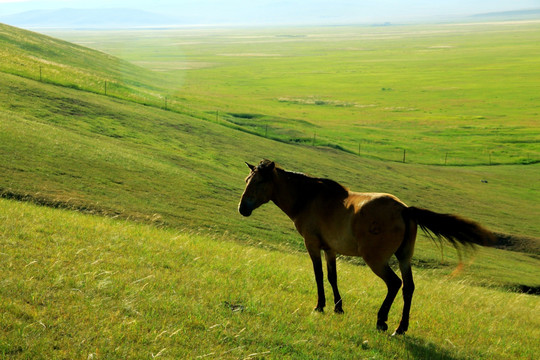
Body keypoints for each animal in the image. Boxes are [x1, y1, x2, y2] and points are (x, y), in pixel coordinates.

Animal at [238, 160, 496, 334]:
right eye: (247, 181)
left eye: (259, 182)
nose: (242, 208)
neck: (309, 199)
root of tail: (404, 210)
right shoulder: (330, 248)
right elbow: (332, 277)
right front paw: (338, 308)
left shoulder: (312, 244)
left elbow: (319, 275)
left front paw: (320, 306)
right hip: (404, 257)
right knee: (408, 287)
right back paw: (401, 328)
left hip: (376, 260)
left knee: (394, 283)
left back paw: (382, 321)